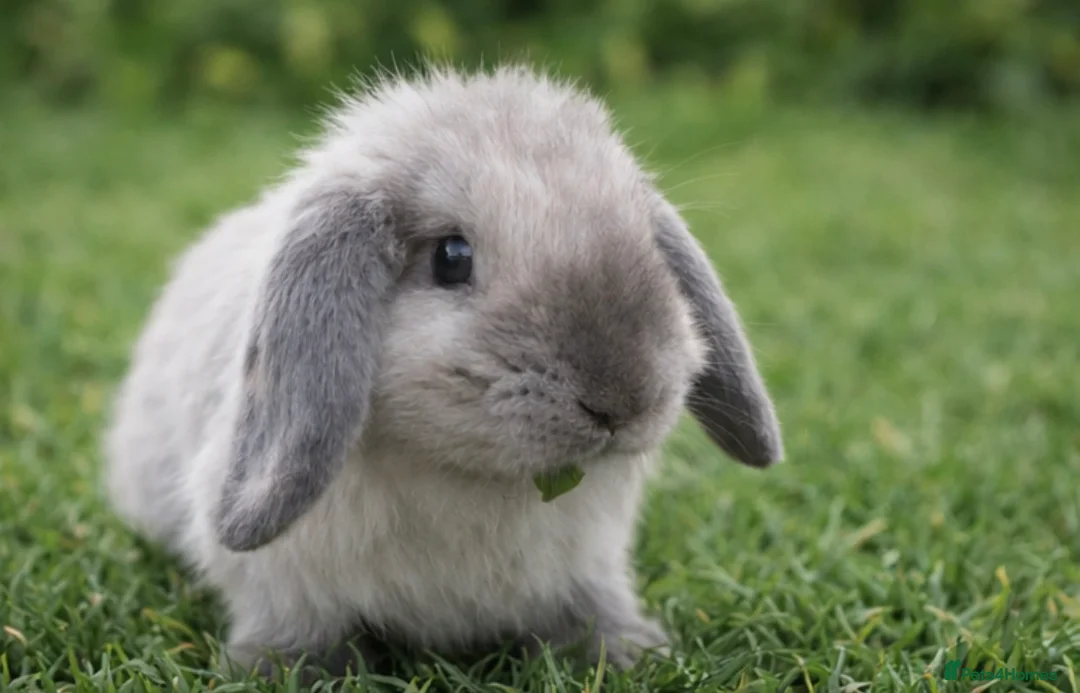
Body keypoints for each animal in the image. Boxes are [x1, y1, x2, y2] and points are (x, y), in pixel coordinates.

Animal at [102, 63, 784, 679]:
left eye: (645, 247)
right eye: (451, 257)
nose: (622, 401)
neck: (467, 477)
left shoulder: (588, 560)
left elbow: (590, 607)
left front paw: (626, 651)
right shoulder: (284, 584)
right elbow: (296, 629)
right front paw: (282, 671)